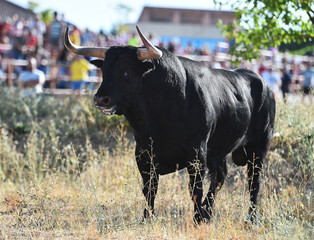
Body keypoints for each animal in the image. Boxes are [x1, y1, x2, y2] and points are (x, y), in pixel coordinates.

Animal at [63, 28, 274, 223]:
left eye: (126, 72)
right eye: (104, 70)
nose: (101, 99)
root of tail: (261, 82)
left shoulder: (197, 154)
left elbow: (195, 190)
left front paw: (196, 219)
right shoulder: (143, 155)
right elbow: (150, 189)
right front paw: (148, 217)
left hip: (259, 147)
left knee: (253, 182)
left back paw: (249, 218)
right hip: (220, 149)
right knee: (221, 177)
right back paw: (208, 213)